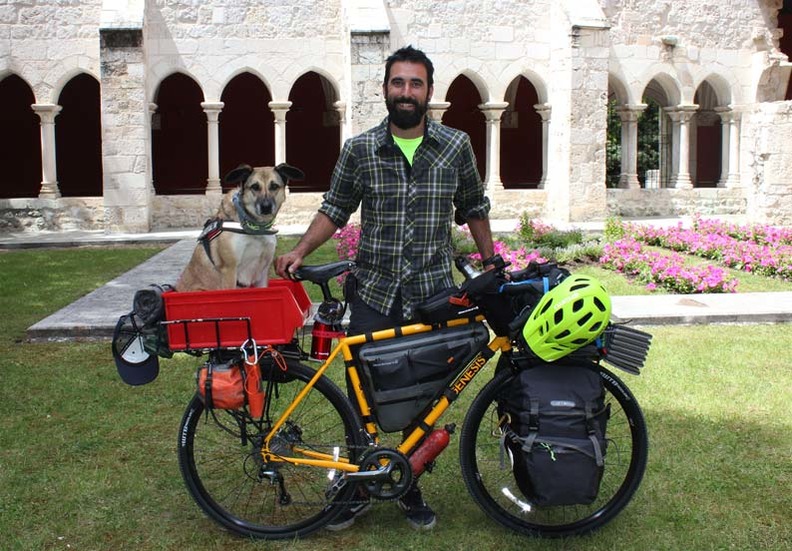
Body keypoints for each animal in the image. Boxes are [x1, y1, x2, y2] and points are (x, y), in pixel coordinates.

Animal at [176, 164, 304, 294]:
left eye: (274, 186)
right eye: (255, 187)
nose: (266, 207)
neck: (255, 227)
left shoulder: (263, 272)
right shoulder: (230, 270)